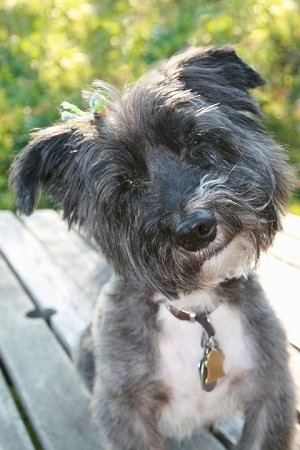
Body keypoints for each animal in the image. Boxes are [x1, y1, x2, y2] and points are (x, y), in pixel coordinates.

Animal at [9, 47, 296, 448]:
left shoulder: (271, 393)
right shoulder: (124, 410)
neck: (194, 309)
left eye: (199, 146)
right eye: (127, 183)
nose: (196, 229)